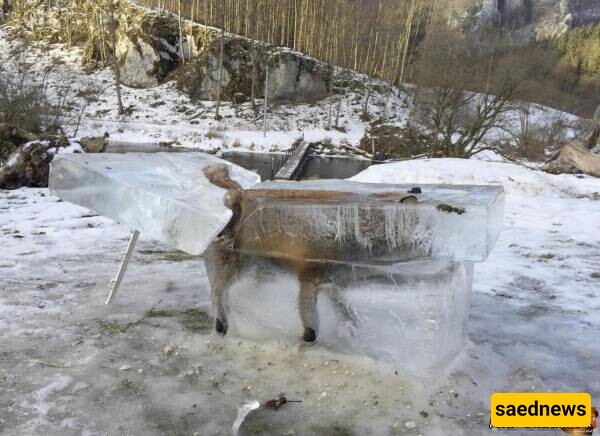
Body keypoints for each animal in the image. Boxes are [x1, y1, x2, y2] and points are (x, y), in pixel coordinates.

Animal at [203, 165, 418, 342]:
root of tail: (240, 193)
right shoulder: (310, 277)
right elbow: (310, 319)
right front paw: (309, 338)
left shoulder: (332, 281)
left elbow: (344, 308)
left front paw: (350, 328)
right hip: (236, 266)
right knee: (217, 291)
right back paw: (221, 322)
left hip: (258, 270)